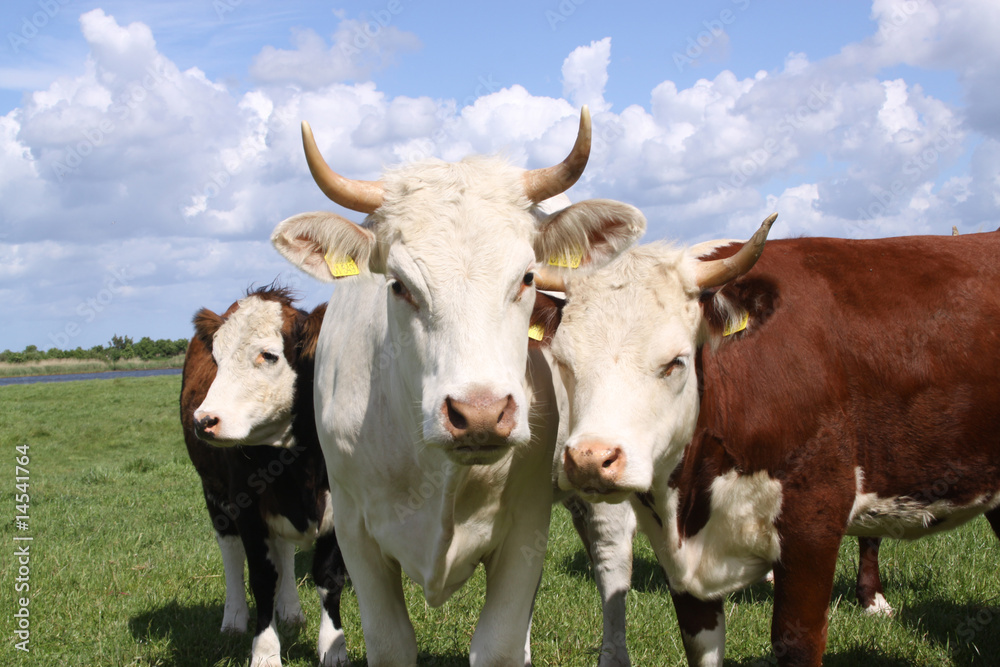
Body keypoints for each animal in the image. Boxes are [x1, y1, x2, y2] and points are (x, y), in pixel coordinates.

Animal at [180, 288, 348, 667]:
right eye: (216, 358)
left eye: (268, 355)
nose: (203, 420)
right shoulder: (247, 508)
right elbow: (261, 578)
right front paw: (265, 652)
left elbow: (328, 577)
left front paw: (333, 647)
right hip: (214, 493)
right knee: (230, 550)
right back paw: (233, 618)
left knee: (283, 549)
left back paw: (290, 611)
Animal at [272, 107, 648, 664]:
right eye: (399, 285)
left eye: (527, 277)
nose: (481, 413)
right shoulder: (355, 533)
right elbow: (393, 642)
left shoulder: (526, 526)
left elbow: (496, 643)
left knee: (611, 561)